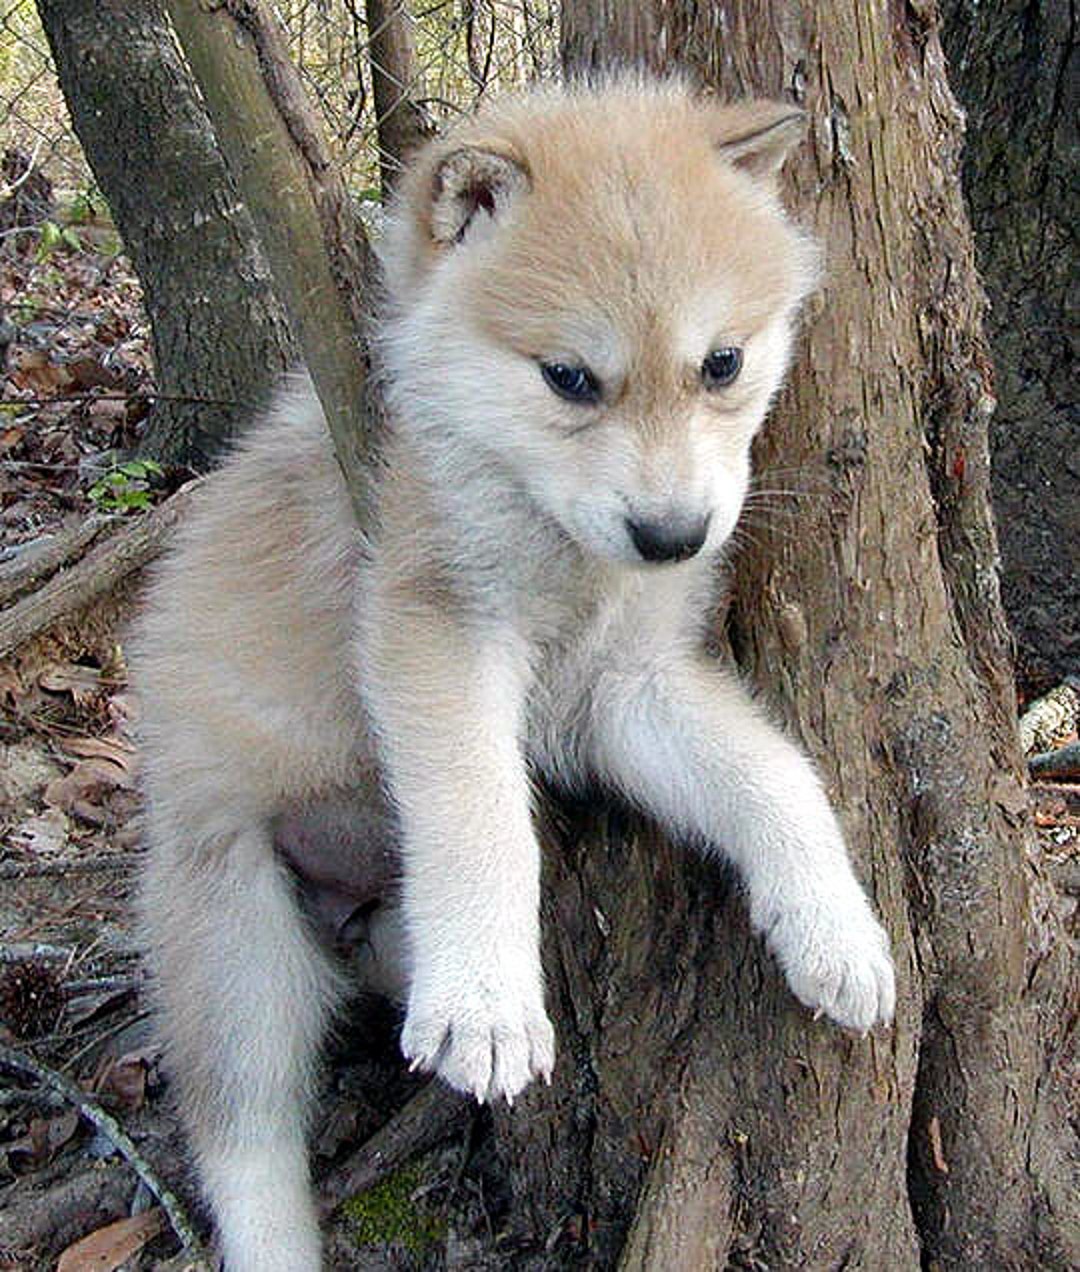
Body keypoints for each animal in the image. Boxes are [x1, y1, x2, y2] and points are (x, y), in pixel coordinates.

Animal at [132, 78, 895, 1270]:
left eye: (721, 364)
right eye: (570, 380)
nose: (673, 537)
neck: (550, 535)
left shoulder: (624, 691)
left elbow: (776, 778)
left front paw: (836, 927)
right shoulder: (436, 630)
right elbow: (479, 816)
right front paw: (488, 1003)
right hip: (235, 937)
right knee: (244, 1141)